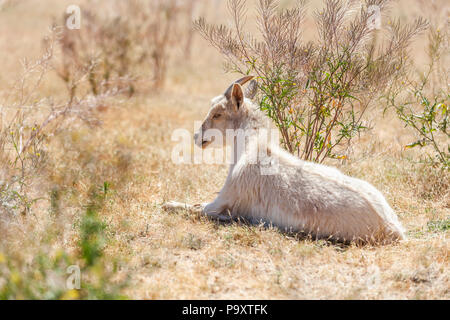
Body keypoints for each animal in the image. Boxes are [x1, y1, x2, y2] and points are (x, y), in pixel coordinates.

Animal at [163, 76, 406, 244]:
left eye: (217, 114)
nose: (197, 137)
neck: (254, 149)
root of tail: (393, 228)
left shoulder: (221, 202)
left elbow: (191, 207)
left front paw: (167, 204)